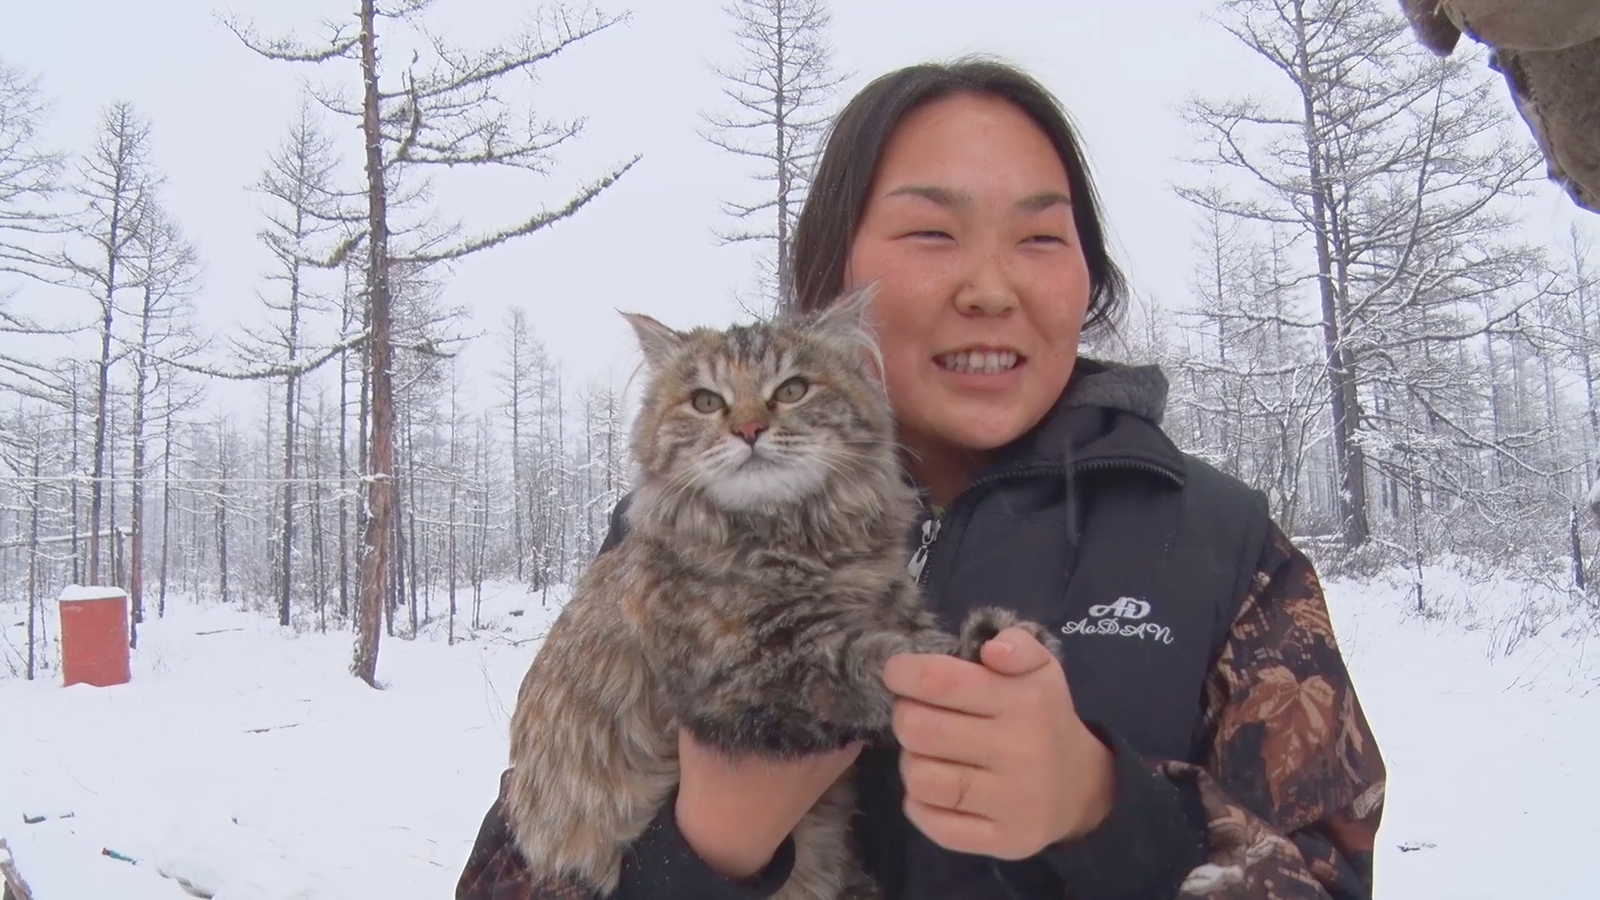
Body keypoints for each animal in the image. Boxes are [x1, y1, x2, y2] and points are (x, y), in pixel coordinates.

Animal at [505, 291, 1056, 890]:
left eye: (792, 390)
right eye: (705, 401)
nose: (748, 430)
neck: (799, 543)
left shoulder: (885, 607)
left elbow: (907, 633)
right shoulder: (748, 681)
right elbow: (878, 662)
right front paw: (963, 656)